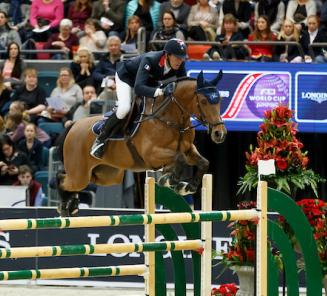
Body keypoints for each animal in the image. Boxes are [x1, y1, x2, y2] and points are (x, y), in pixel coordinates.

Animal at [57, 70, 228, 216]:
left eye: (219, 100)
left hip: (105, 174)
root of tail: (73, 125)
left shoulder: (188, 150)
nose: (219, 133)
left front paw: (187, 187)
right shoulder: (152, 155)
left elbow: (203, 162)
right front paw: (169, 180)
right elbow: (178, 159)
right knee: (62, 180)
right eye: (204, 101)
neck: (171, 119)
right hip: (80, 174)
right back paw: (64, 207)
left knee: (73, 181)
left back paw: (71, 204)